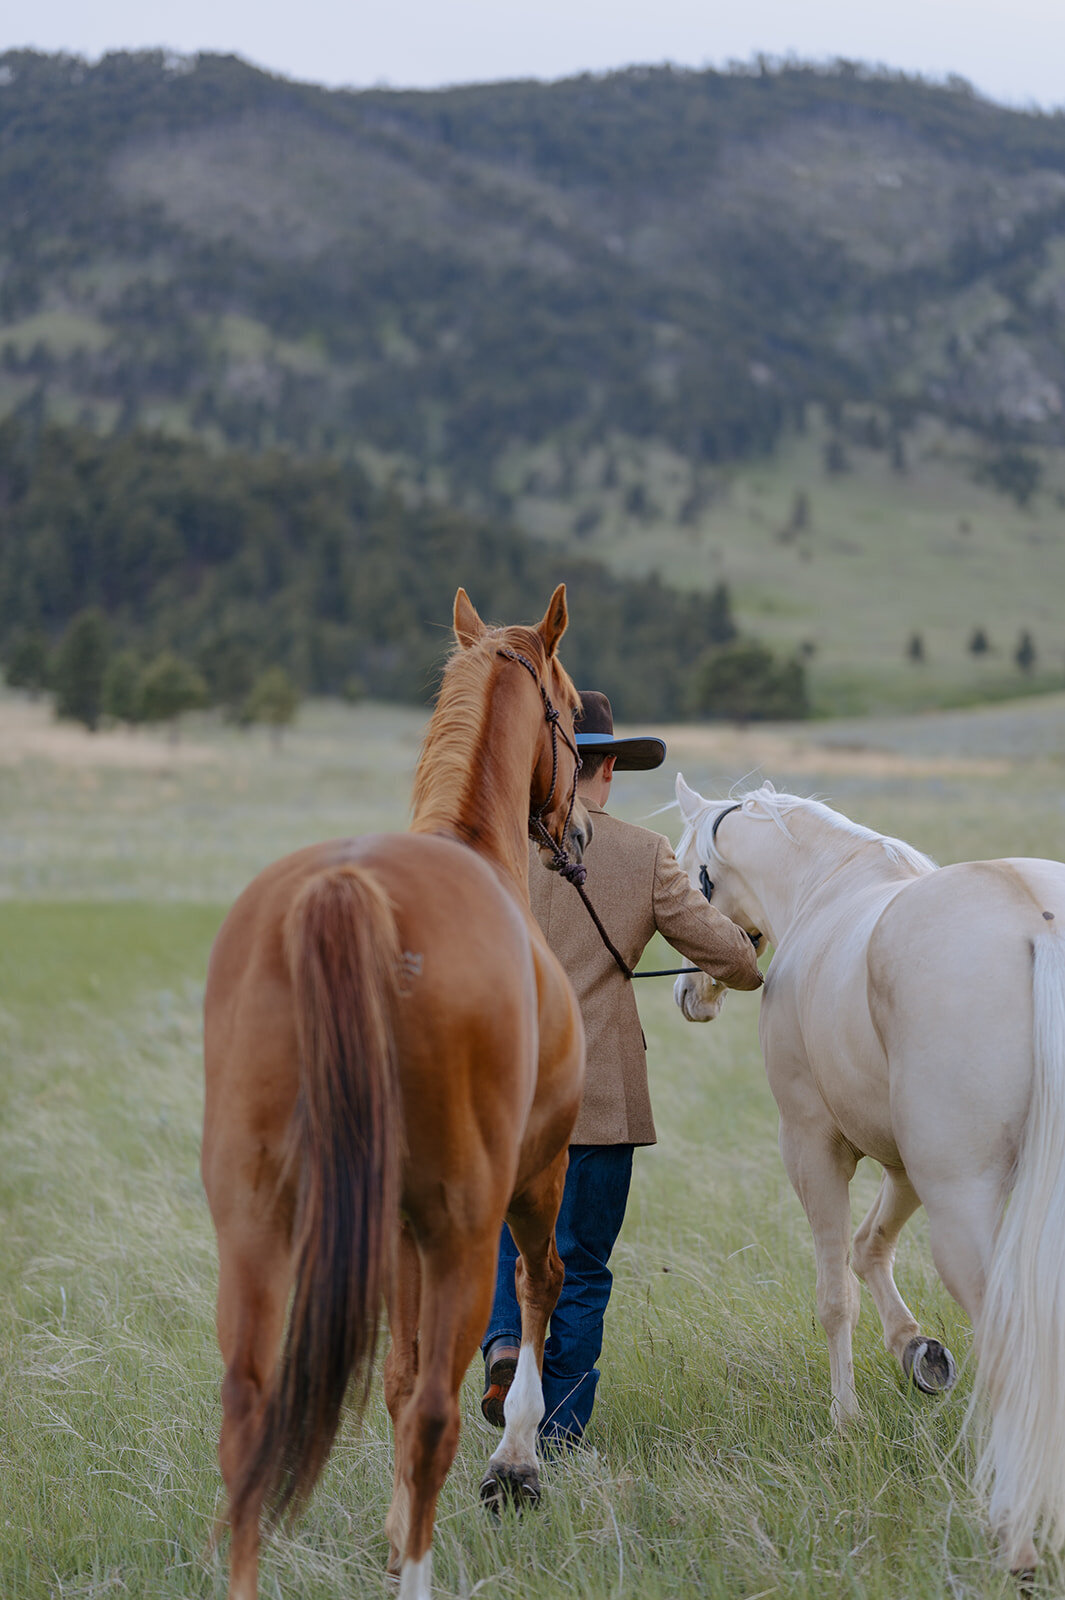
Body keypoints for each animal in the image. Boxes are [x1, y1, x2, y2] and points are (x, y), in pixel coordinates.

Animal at [201, 588, 588, 1600]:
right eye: (572, 717)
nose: (573, 832)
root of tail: (347, 889)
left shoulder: (396, 1229)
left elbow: (394, 1373)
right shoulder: (529, 1182)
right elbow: (535, 1292)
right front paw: (517, 1461)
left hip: (256, 1226)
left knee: (248, 1415)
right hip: (465, 1225)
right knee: (434, 1415)